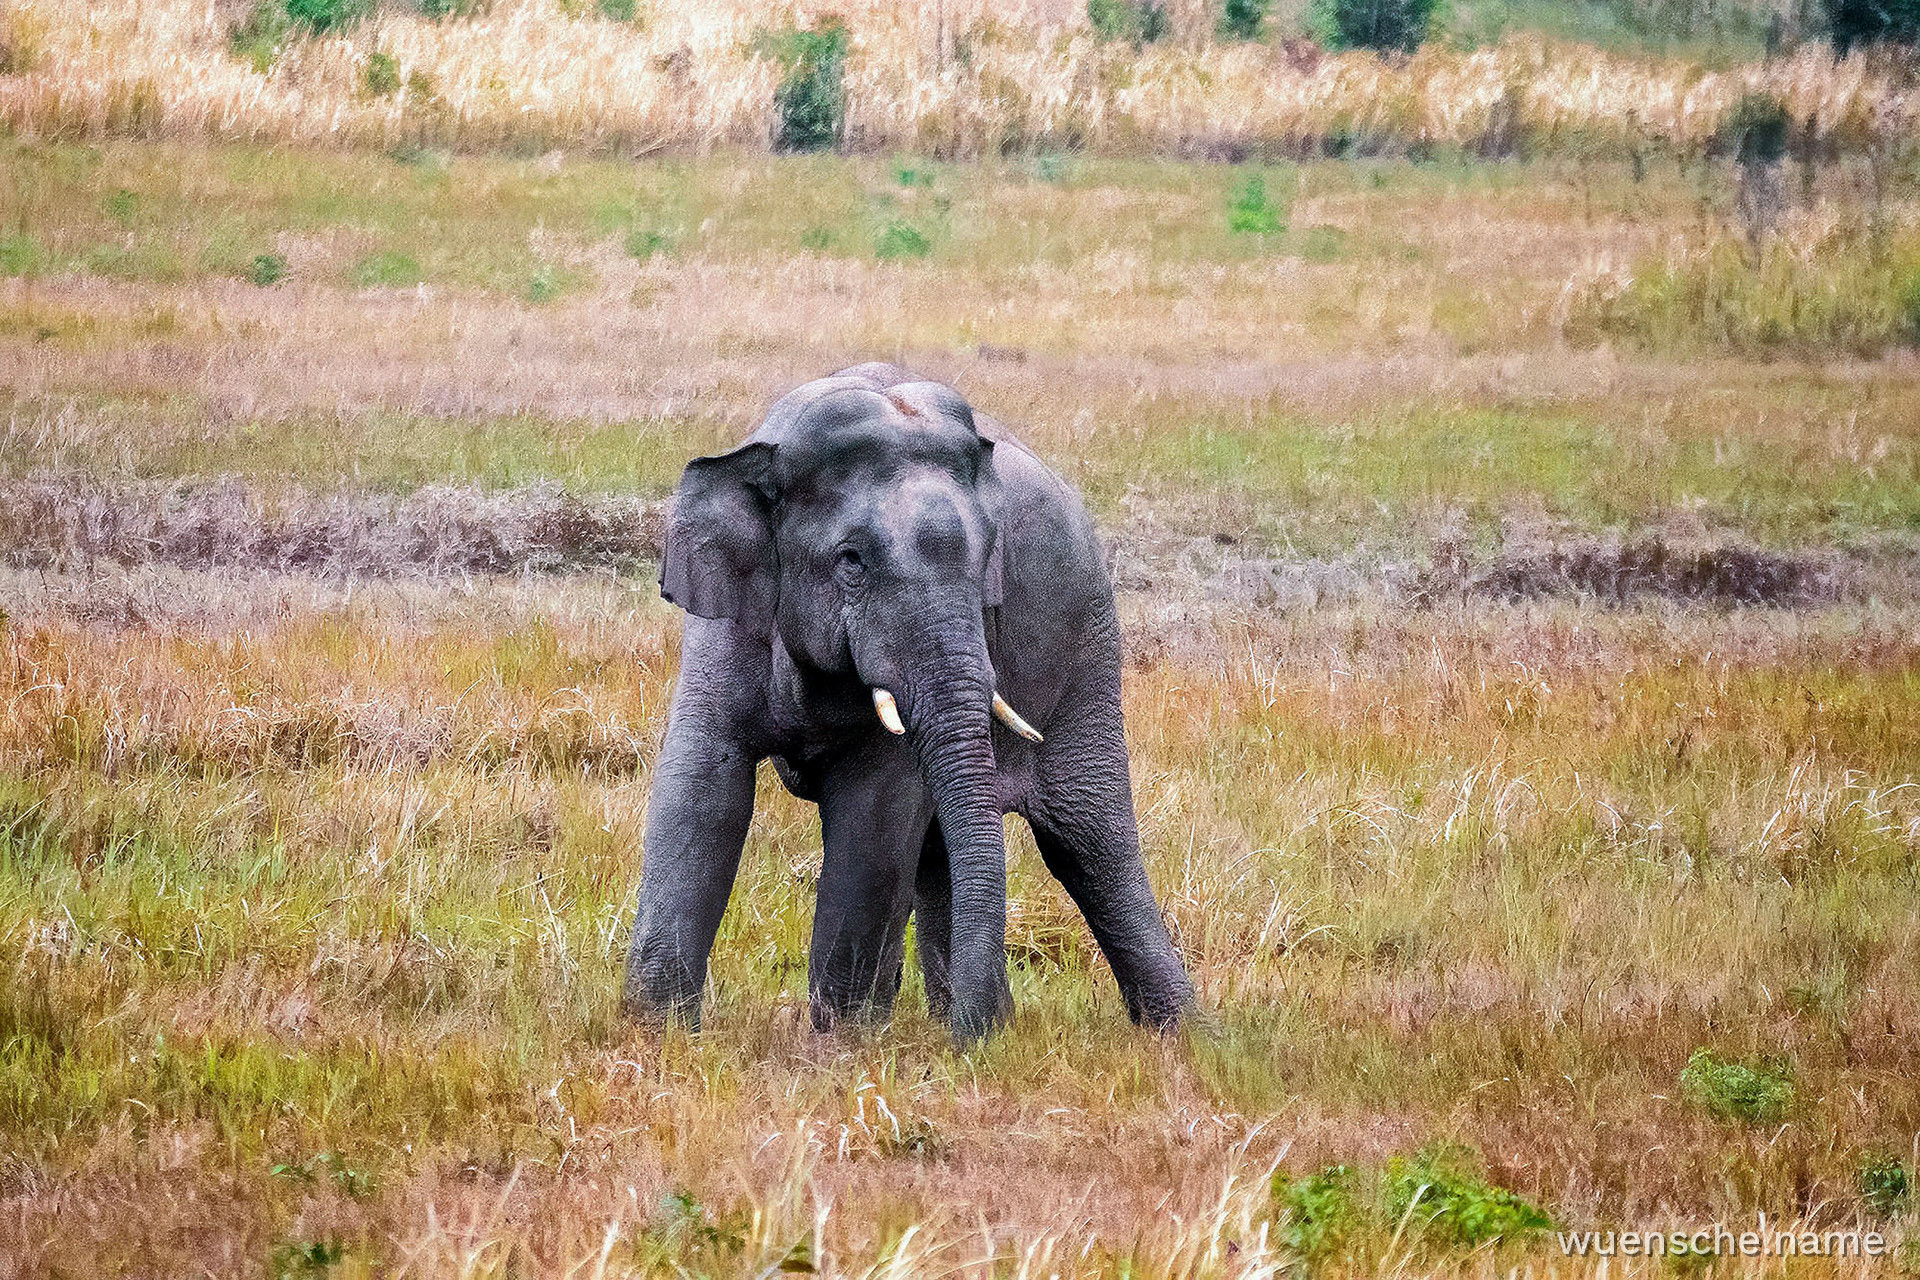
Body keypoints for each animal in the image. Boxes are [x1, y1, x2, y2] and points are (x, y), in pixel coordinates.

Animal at [621, 363, 1192, 1039]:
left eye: (986, 563)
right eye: (851, 561)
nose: (972, 1040)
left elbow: (874, 814)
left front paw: (841, 1044)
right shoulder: (727, 620)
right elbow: (702, 788)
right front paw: (655, 1032)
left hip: (1088, 643)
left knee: (1088, 843)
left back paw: (1186, 1038)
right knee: (954, 845)